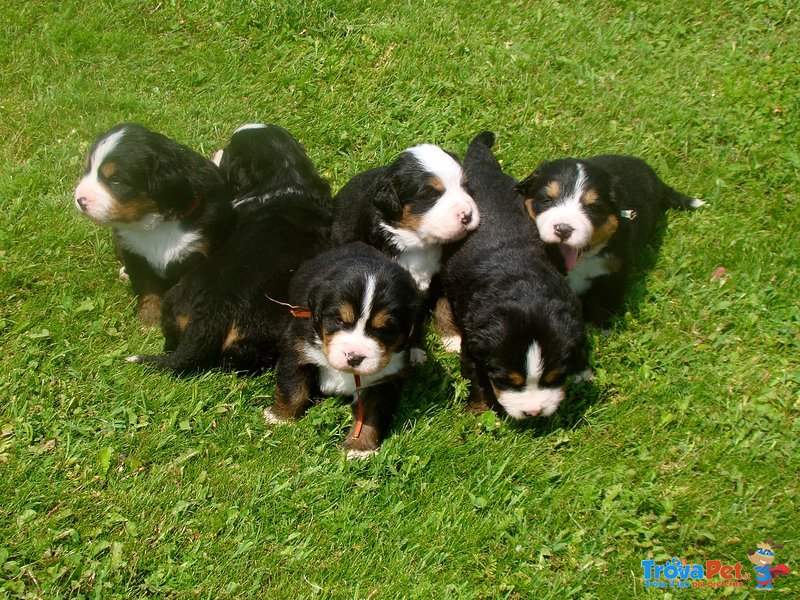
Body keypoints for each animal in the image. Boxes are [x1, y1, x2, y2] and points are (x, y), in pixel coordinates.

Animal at [72, 122, 236, 326]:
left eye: (116, 180)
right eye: (88, 170)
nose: (80, 199)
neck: (153, 224)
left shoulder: (197, 254)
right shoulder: (134, 253)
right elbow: (147, 288)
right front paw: (148, 320)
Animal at [438, 133, 588, 420]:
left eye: (554, 377)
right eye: (506, 380)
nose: (534, 412)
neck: (525, 290)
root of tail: (483, 170)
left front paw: (582, 370)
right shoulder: (473, 346)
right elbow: (477, 379)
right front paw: (478, 409)